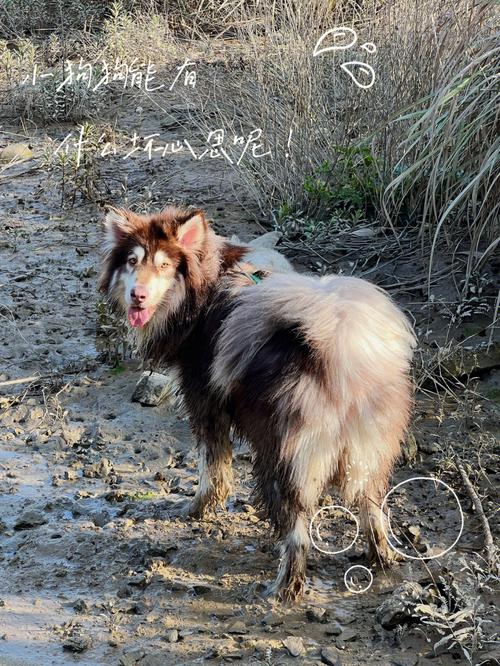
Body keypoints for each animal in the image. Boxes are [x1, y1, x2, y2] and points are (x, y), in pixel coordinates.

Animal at [99, 205, 416, 600]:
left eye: (164, 266)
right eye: (132, 261)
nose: (137, 296)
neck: (206, 286)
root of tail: (341, 358)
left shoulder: (205, 403)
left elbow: (211, 468)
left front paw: (197, 509)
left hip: (282, 460)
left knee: (298, 535)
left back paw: (283, 588)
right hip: (368, 455)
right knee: (373, 511)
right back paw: (383, 558)